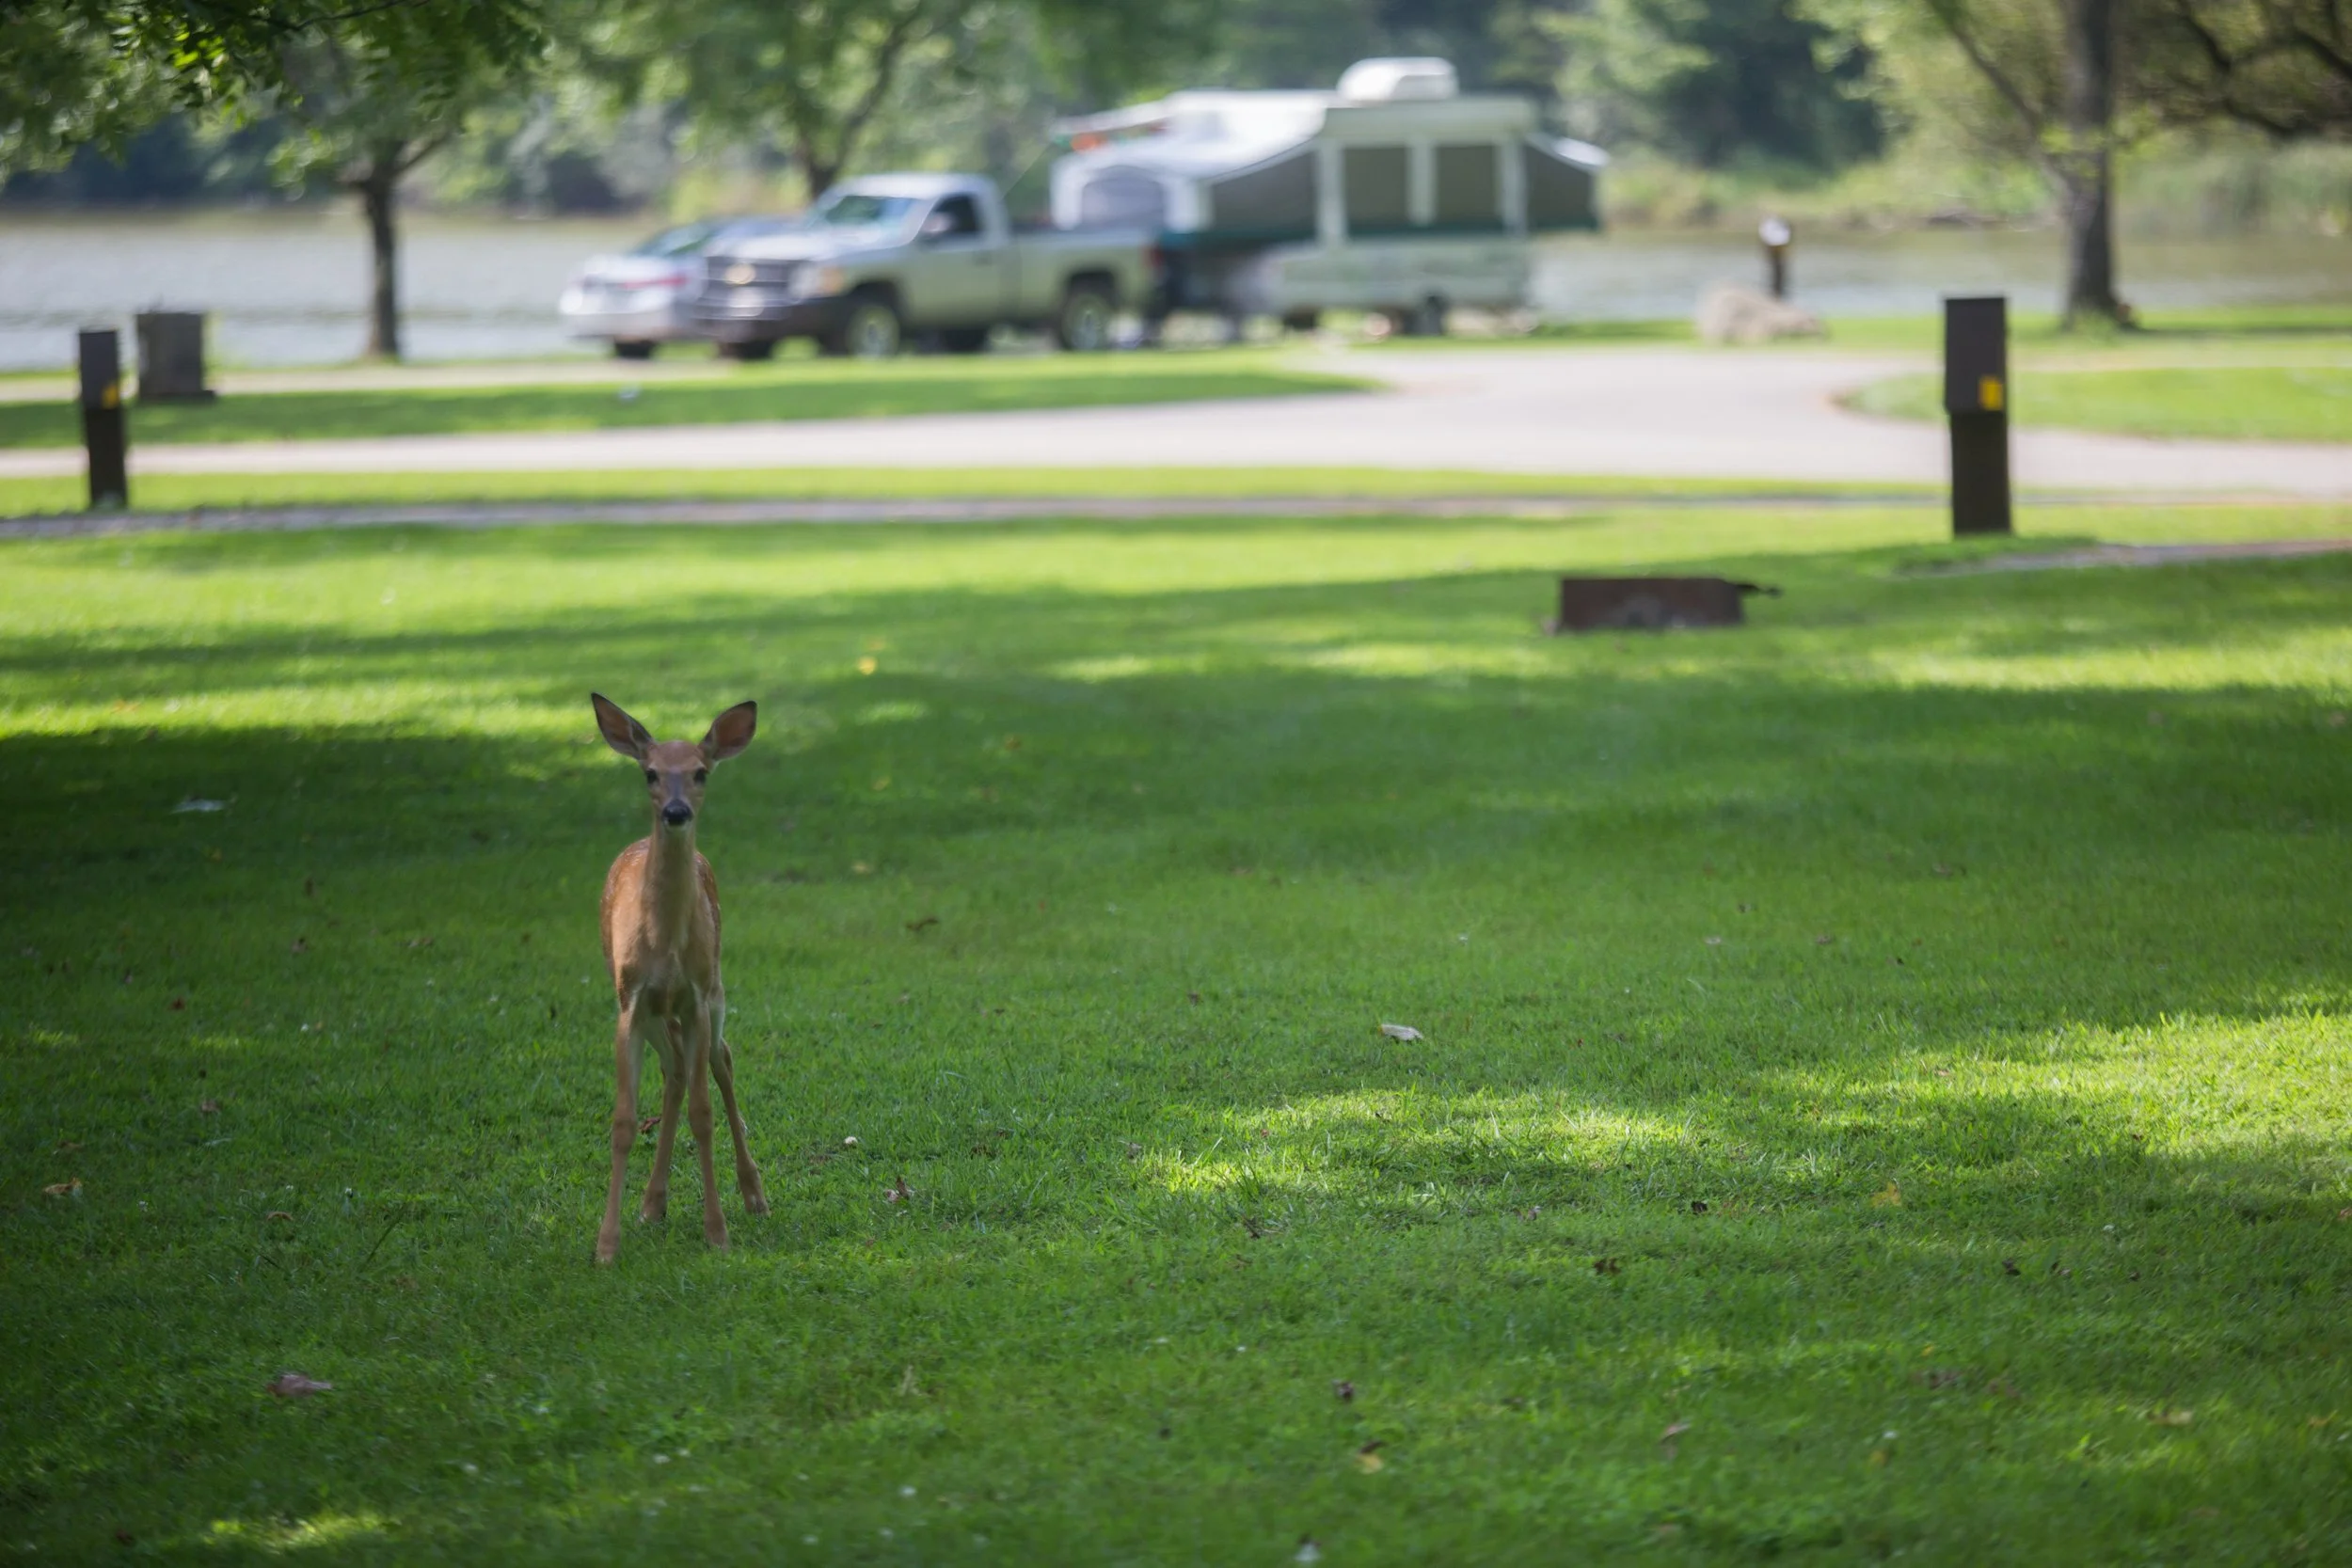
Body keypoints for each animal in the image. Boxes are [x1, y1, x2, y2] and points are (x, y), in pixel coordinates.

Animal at [590, 693, 767, 1264]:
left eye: (700, 772)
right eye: (649, 772)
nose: (675, 812)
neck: (665, 945)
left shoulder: (695, 996)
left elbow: (703, 1113)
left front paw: (718, 1232)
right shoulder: (630, 1000)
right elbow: (624, 1121)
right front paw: (607, 1245)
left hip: (714, 992)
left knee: (719, 1062)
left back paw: (754, 1195)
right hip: (652, 1011)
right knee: (673, 1073)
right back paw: (652, 1203)